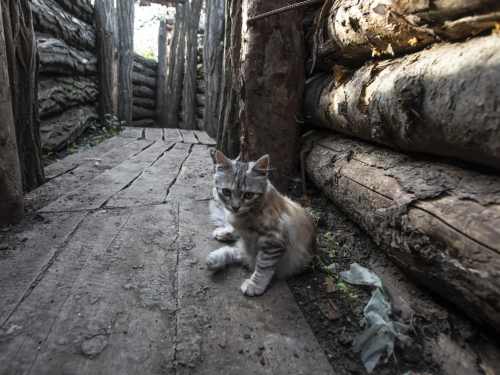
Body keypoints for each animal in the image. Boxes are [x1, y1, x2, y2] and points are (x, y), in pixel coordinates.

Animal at [205, 151, 314, 296]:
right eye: (226, 192)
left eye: (248, 195)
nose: (235, 207)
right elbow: (234, 228)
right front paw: (225, 231)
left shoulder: (274, 239)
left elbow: (263, 265)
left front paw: (255, 284)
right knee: (236, 252)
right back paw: (215, 258)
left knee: (243, 256)